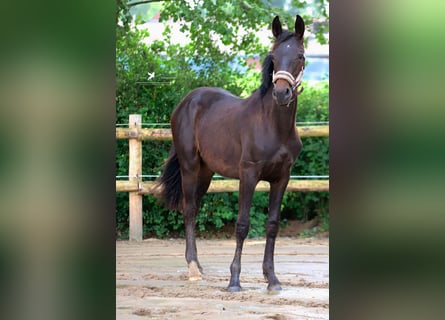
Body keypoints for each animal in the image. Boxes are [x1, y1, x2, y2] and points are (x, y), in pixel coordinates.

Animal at [156, 15, 306, 292]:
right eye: (273, 55)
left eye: (299, 56)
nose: (281, 93)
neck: (274, 126)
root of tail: (187, 101)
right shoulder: (248, 175)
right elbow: (242, 224)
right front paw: (234, 281)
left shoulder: (282, 178)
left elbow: (272, 225)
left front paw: (272, 279)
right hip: (190, 167)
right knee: (189, 209)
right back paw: (193, 269)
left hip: (205, 172)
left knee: (192, 207)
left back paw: (198, 265)